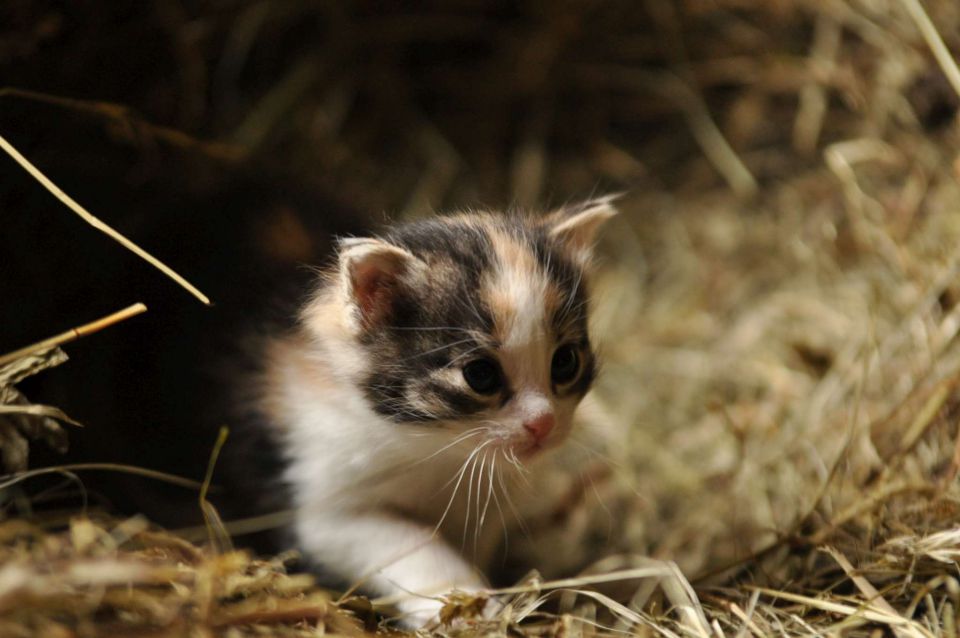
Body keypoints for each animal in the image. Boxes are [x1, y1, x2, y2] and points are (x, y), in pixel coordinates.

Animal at [248, 198, 616, 628]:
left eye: (565, 362)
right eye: (480, 375)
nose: (543, 423)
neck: (436, 447)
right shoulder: (322, 501)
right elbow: (408, 541)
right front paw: (467, 605)